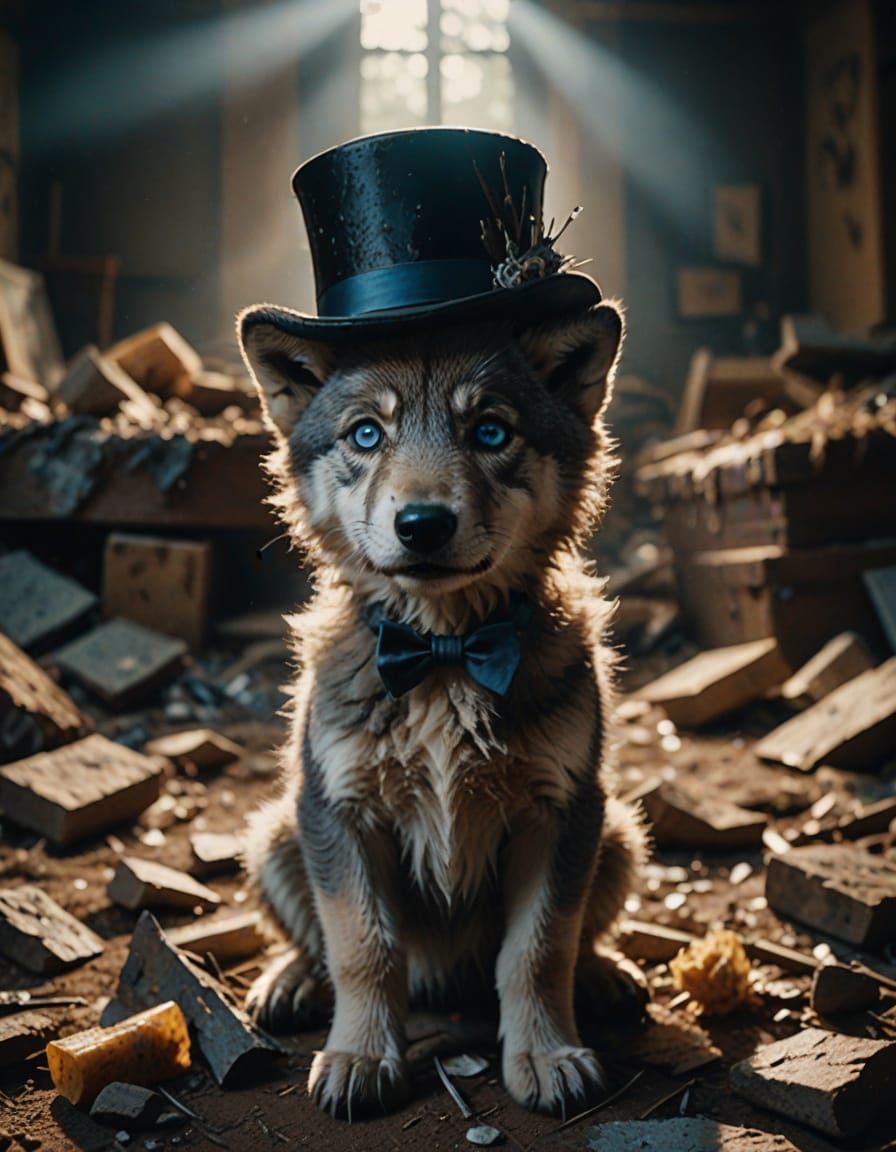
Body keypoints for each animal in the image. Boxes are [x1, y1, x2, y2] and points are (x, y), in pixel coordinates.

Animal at [237, 299, 648, 1120]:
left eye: (490, 431)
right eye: (366, 434)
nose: (422, 524)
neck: (445, 652)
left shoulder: (563, 809)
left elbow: (541, 947)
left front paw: (546, 1053)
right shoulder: (339, 809)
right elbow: (362, 944)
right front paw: (362, 1055)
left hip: (618, 832)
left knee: (582, 936)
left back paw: (603, 973)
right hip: (276, 833)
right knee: (312, 939)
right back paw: (291, 979)